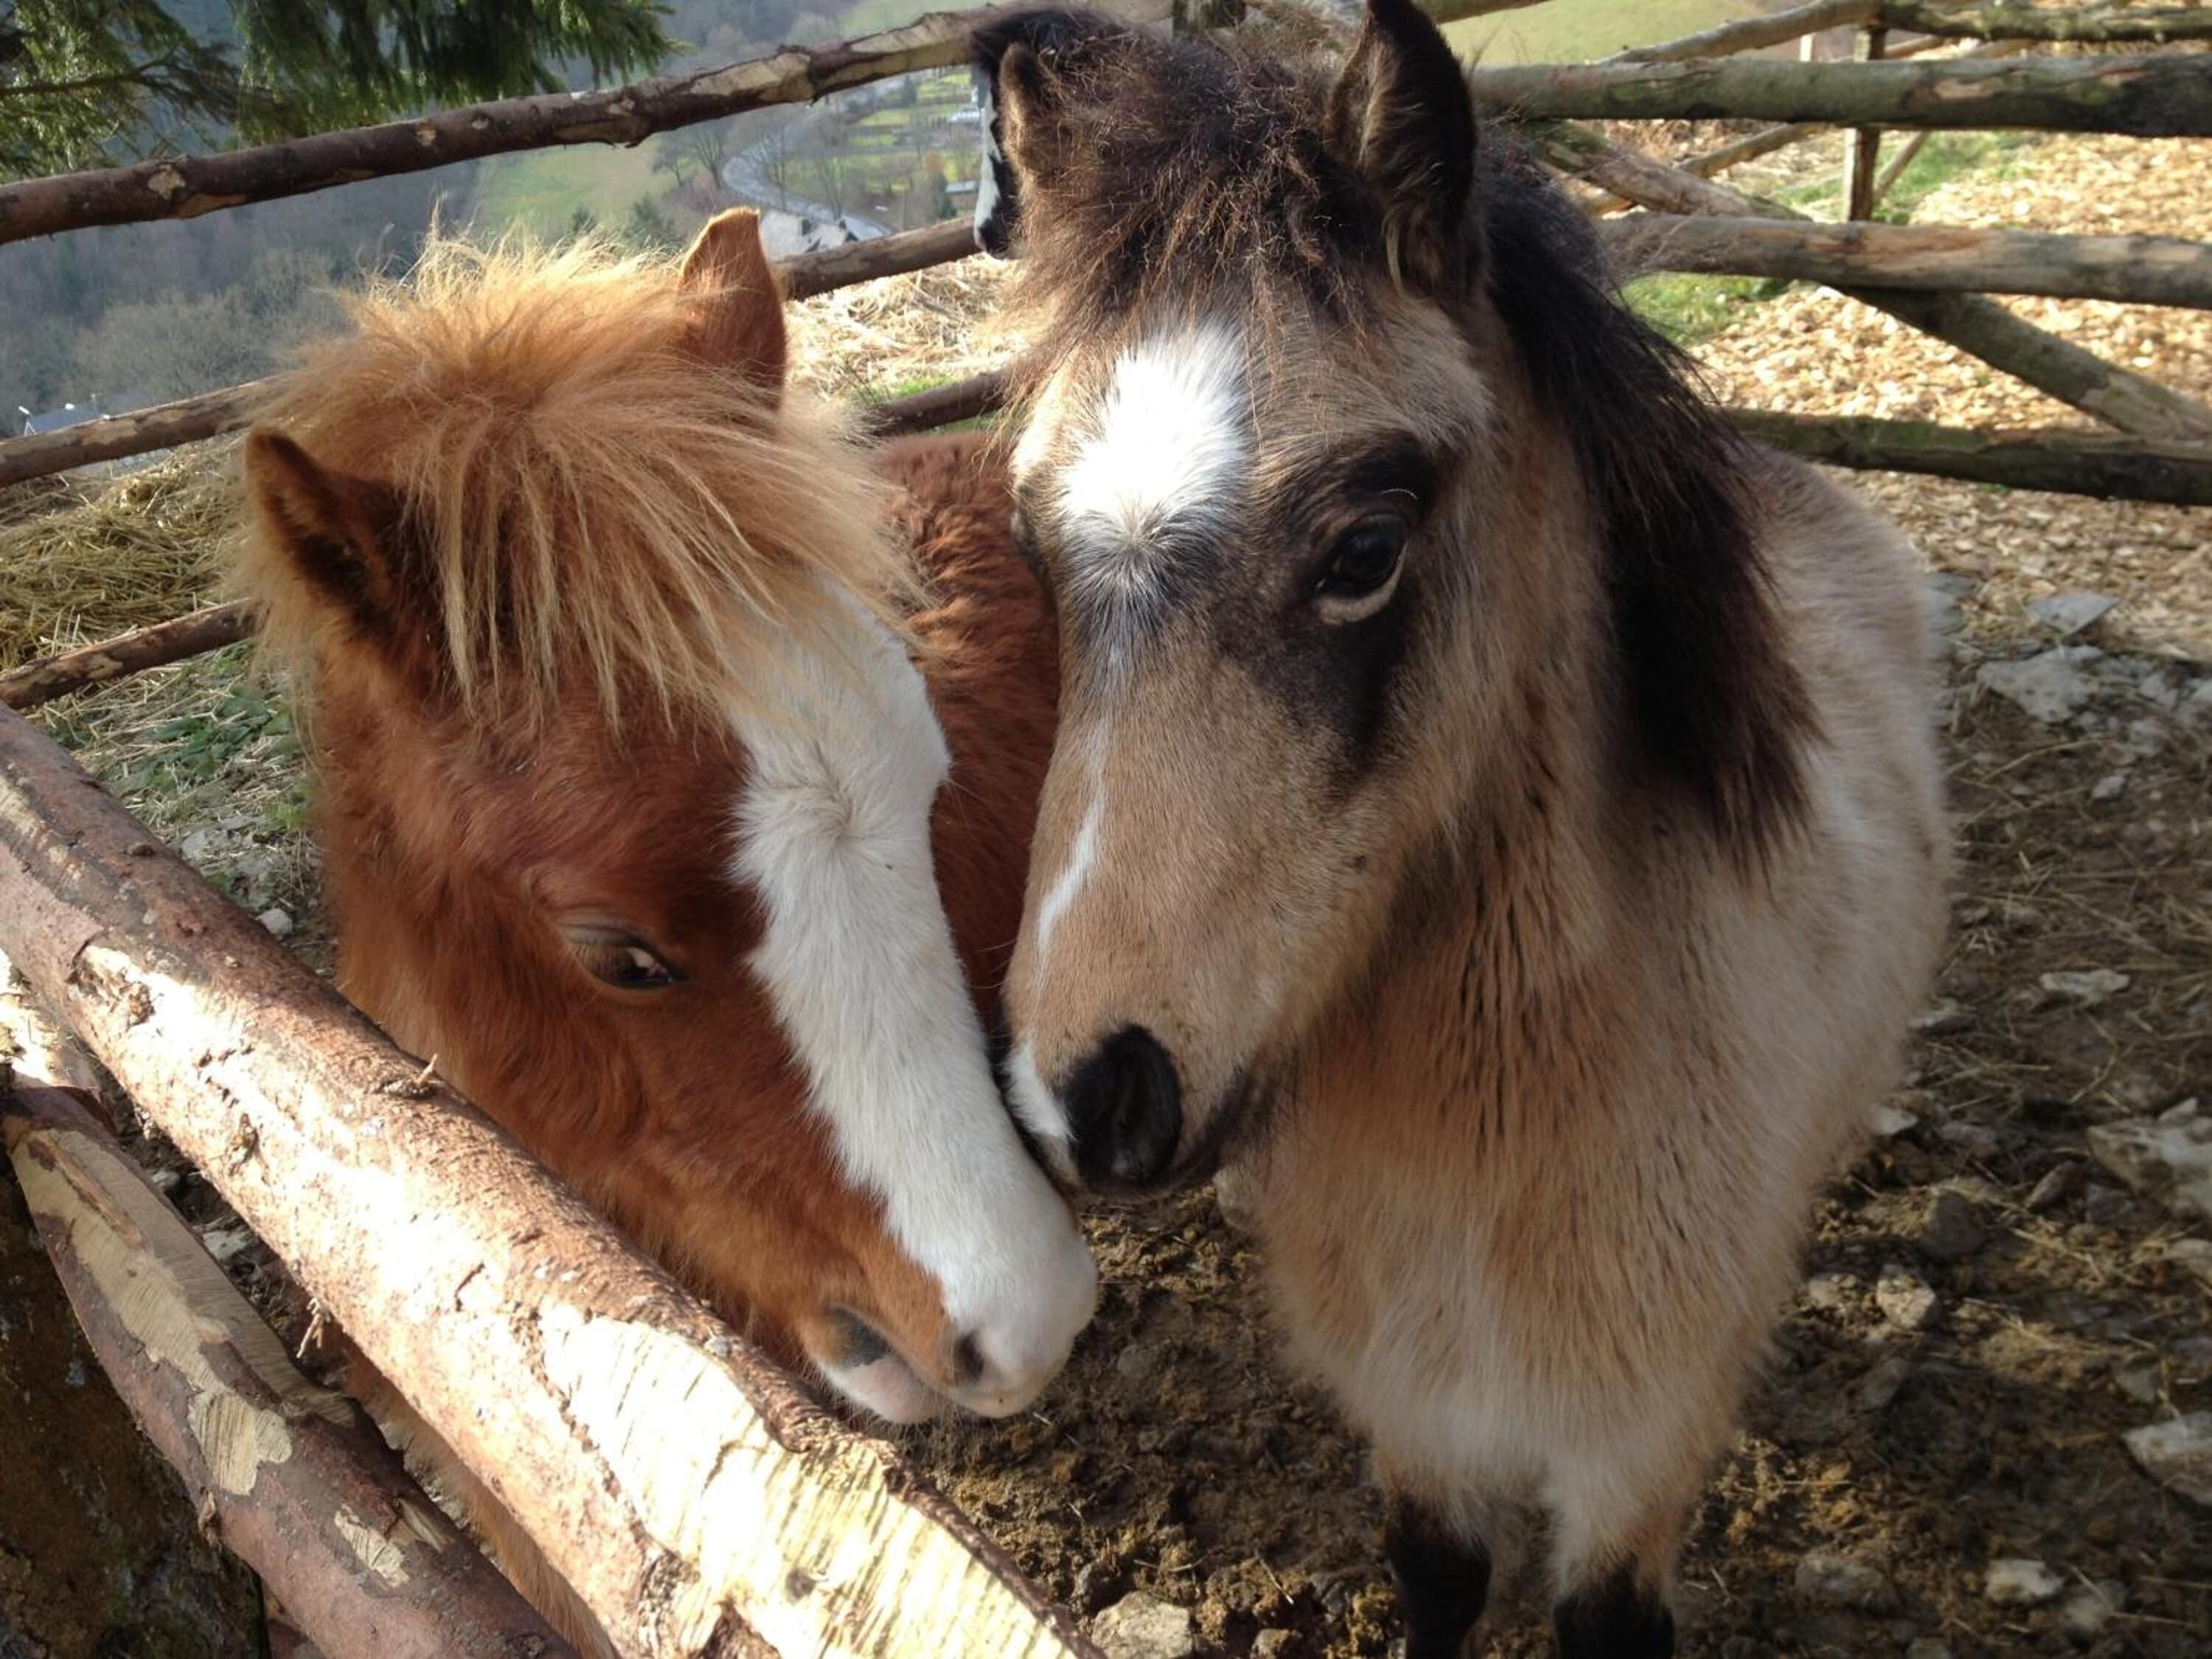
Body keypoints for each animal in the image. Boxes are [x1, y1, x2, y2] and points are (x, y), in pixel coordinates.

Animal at [969, 4, 1948, 1653]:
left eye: (1366, 548)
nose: (1082, 1096)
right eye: (1036, 549)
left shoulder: (1636, 1457)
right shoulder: (1415, 1417)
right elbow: (1434, 1578)